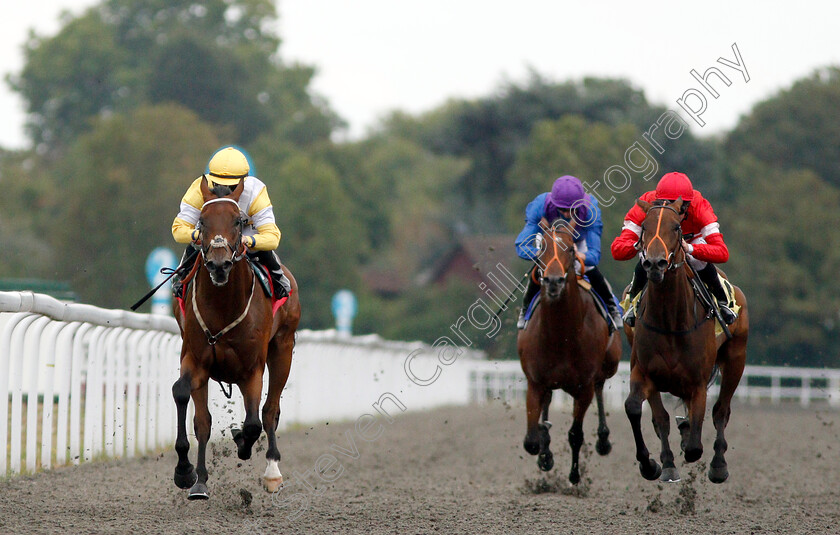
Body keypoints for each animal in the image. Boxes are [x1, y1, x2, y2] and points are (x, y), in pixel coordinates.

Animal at [171, 178, 302, 500]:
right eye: (202, 221)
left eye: (239, 221)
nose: (219, 265)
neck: (222, 307)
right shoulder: (195, 359)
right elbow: (184, 397)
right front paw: (186, 472)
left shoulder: (252, 368)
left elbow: (254, 422)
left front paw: (243, 442)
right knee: (204, 420)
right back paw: (200, 481)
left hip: (283, 348)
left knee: (269, 411)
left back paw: (272, 471)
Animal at [520, 218, 624, 486]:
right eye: (541, 248)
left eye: (569, 249)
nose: (553, 281)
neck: (561, 336)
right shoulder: (535, 382)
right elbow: (531, 440)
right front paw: (545, 454)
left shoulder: (583, 387)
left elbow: (576, 434)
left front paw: (575, 475)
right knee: (547, 403)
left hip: (609, 365)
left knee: (600, 386)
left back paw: (603, 440)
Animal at [624, 198, 748, 486]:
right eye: (644, 227)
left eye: (677, 227)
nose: (655, 263)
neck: (670, 318)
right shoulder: (643, 372)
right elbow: (638, 409)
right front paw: (652, 465)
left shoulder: (697, 382)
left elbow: (695, 444)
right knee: (664, 418)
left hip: (736, 360)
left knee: (721, 411)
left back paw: (718, 465)